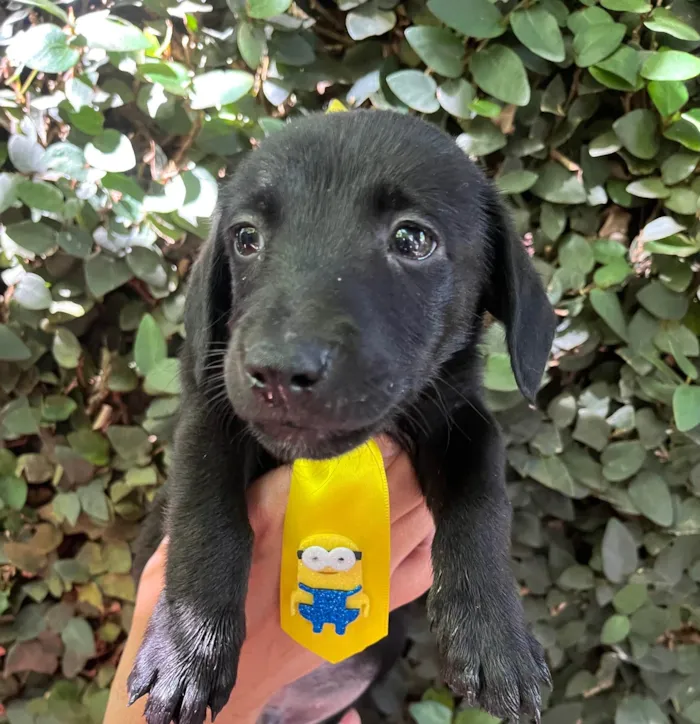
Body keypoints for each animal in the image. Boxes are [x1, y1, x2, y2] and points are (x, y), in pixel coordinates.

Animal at [129, 109, 556, 724]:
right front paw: (188, 646)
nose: (278, 370)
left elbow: (483, 504)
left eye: (412, 239)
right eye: (245, 238)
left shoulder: (463, 422)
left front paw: (495, 635)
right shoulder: (211, 414)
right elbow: (204, 511)